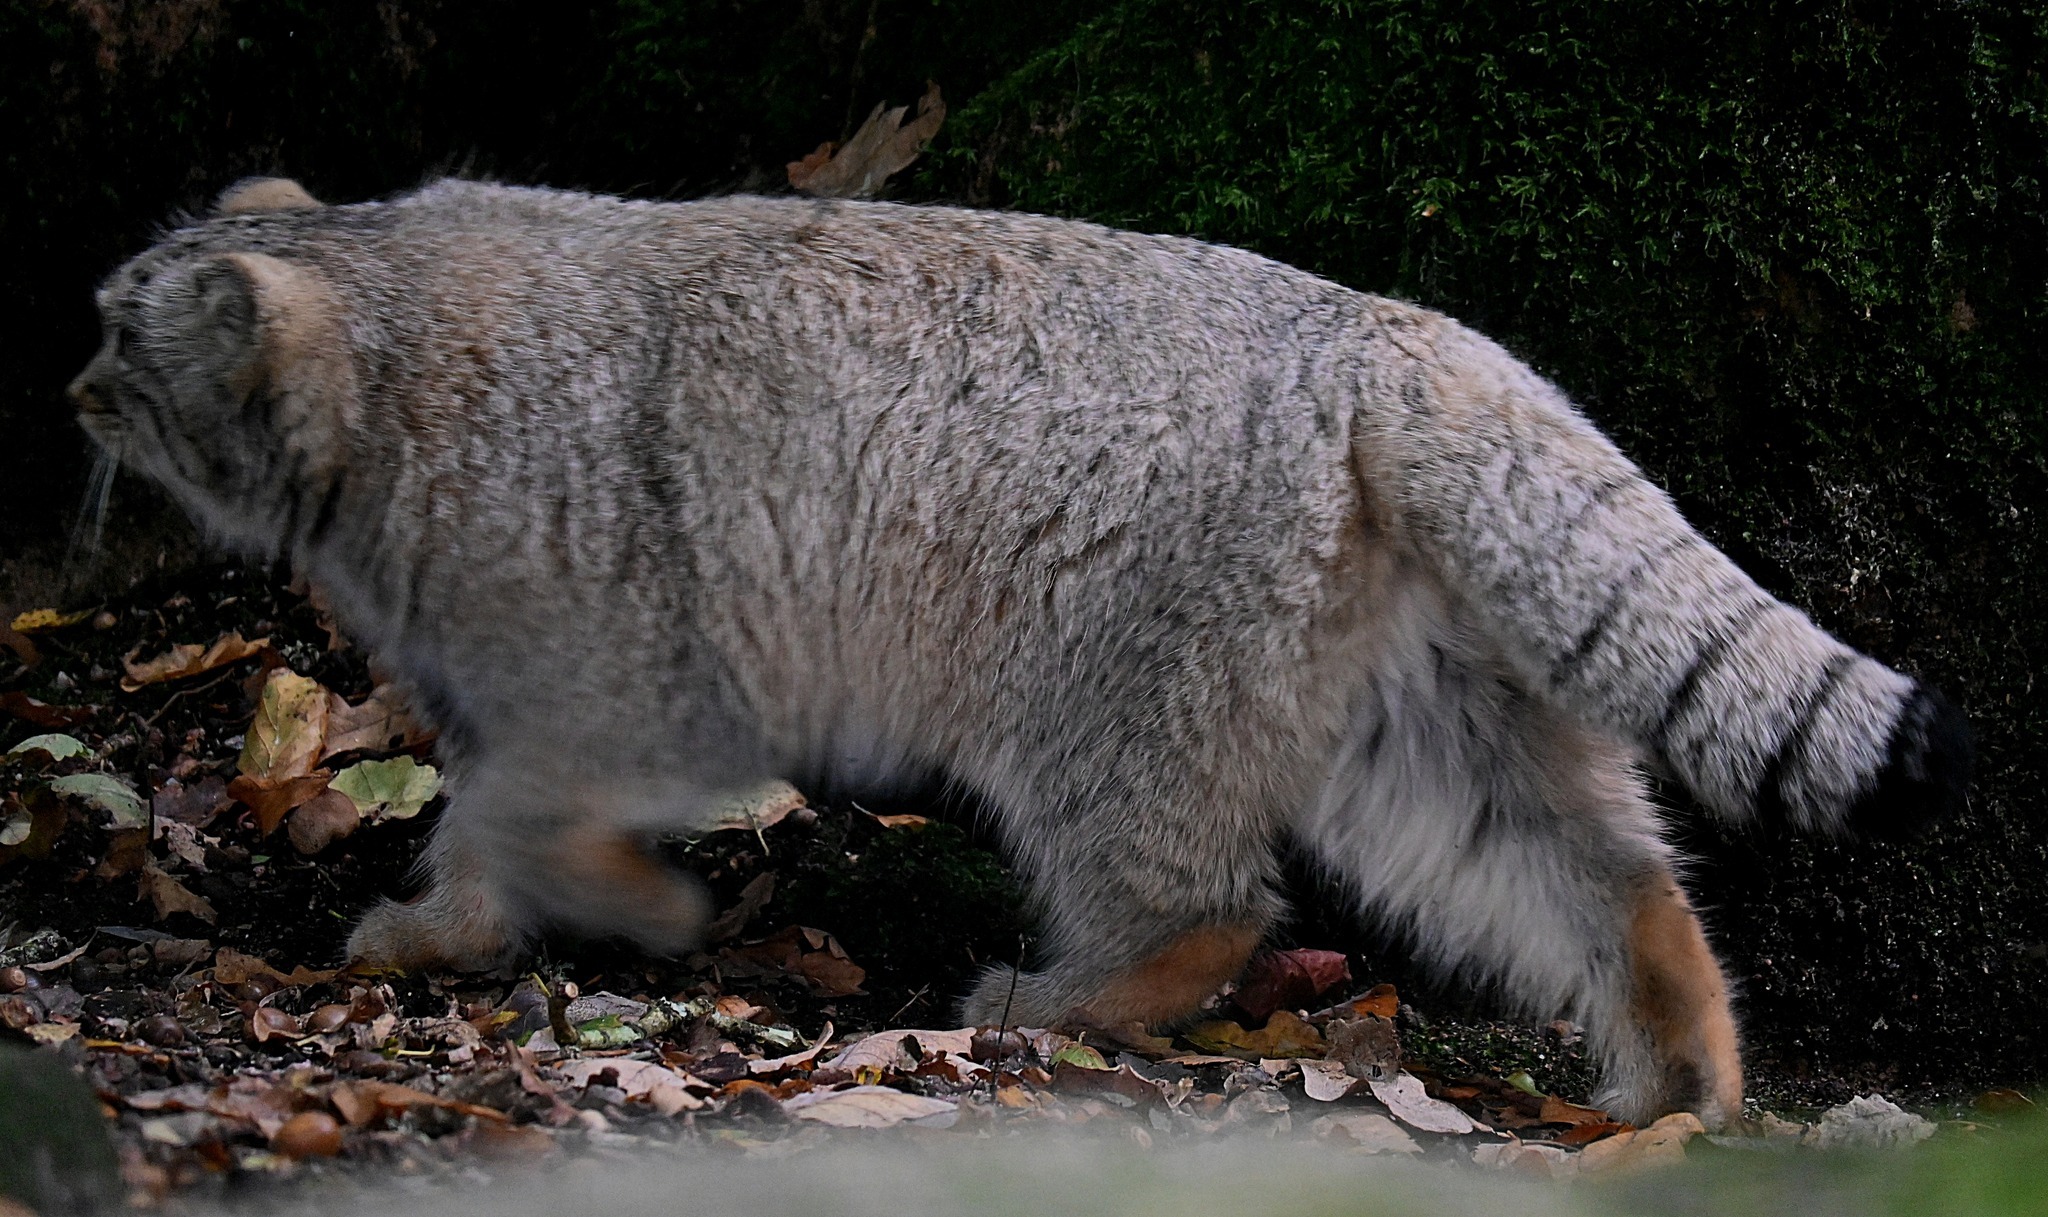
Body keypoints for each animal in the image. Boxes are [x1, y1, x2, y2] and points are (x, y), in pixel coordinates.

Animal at [68, 175, 1966, 1122]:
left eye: (115, 335)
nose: (68, 392)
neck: (383, 321)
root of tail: (1384, 326)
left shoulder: (601, 659)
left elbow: (511, 816)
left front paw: (493, 925)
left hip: (1099, 698)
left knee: (1207, 901)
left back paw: (1063, 998)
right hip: (1420, 716)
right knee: (1609, 876)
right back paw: (1680, 1081)